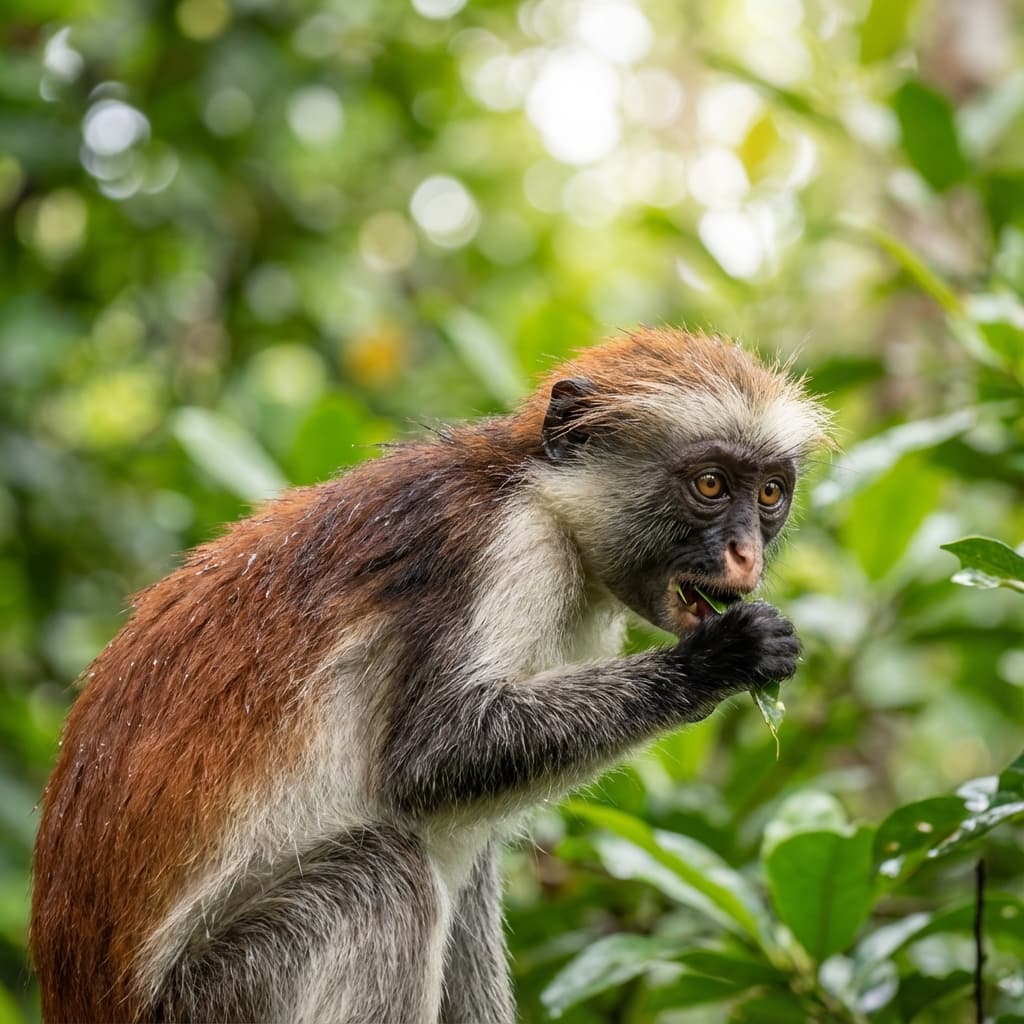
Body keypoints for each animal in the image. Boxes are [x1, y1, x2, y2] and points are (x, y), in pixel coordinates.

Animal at [30, 327, 831, 1024]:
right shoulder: (501, 545)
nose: (745, 555)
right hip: (218, 998)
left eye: (769, 494)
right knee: (386, 875)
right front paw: (721, 657)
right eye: (710, 484)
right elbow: (433, 759)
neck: (537, 494)